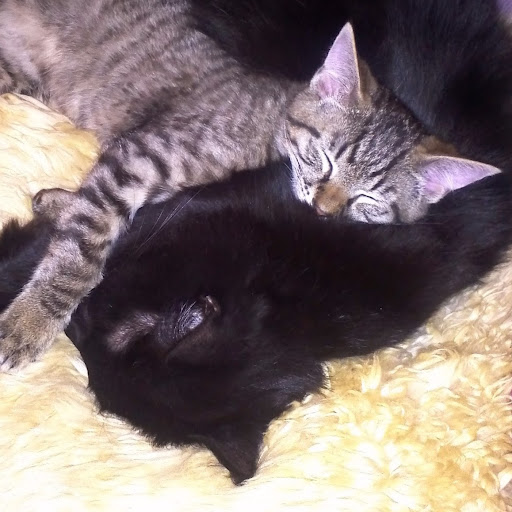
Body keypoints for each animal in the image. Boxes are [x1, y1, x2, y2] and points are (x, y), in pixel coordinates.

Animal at [0, 0, 499, 370]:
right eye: (325, 158)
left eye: (369, 200)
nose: (323, 210)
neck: (272, 130)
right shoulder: (140, 157)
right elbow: (85, 246)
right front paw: (29, 321)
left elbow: (102, 219)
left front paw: (54, 203)